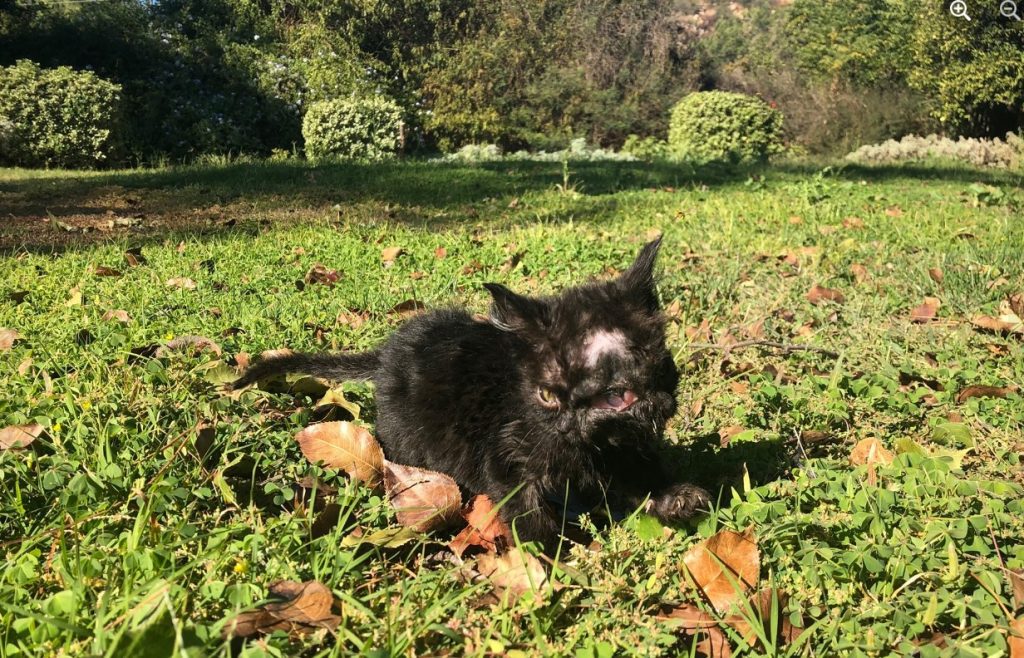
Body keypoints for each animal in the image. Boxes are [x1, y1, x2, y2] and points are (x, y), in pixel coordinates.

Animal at [233, 239, 712, 548]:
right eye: (546, 396)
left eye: (617, 392)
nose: (569, 422)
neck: (587, 449)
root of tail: (388, 353)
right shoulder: (504, 455)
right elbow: (526, 508)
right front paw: (555, 554)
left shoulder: (624, 447)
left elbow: (639, 472)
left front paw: (676, 497)